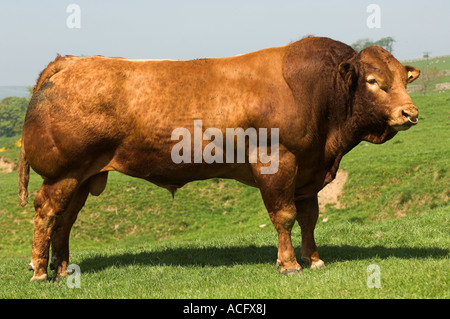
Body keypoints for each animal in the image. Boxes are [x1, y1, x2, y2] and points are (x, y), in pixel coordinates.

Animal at [17, 37, 418, 282]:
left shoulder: (309, 170)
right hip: (63, 174)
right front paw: (289, 265)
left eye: (404, 78)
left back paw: (62, 269)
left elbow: (309, 217)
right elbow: (285, 216)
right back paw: (39, 270)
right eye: (373, 80)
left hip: (82, 176)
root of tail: (70, 62)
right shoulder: (277, 162)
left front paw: (314, 259)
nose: (410, 113)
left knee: (65, 220)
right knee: (46, 213)